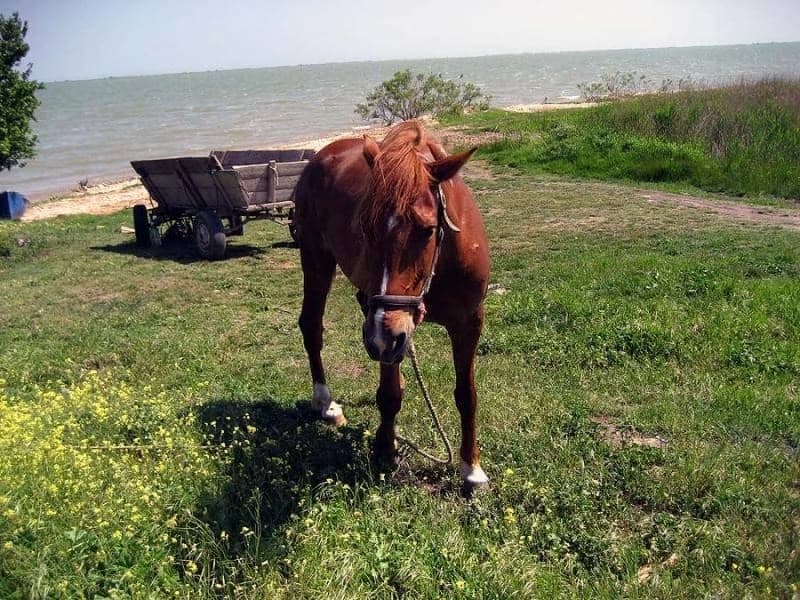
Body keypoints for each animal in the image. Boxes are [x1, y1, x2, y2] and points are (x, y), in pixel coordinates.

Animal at [292, 120, 490, 488]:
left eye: (427, 230)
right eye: (364, 226)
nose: (382, 336)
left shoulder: (468, 322)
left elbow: (466, 395)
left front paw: (471, 468)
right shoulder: (386, 333)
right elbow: (389, 393)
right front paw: (385, 447)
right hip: (316, 261)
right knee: (311, 326)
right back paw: (326, 404)